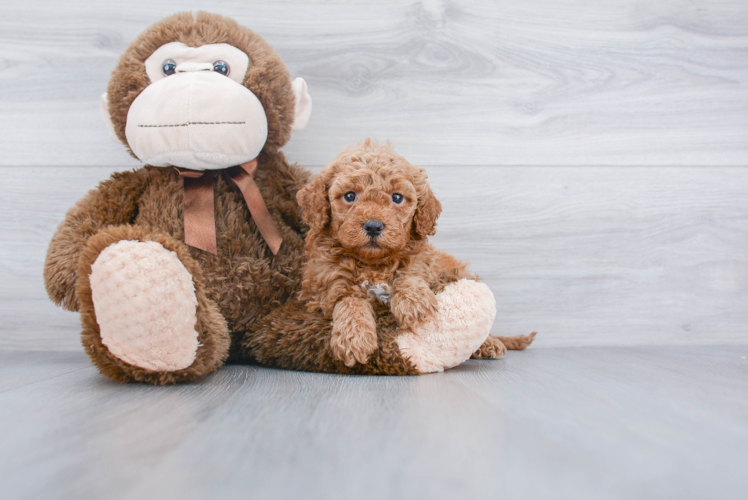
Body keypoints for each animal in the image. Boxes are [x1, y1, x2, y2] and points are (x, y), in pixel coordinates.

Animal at [248, 142, 536, 376]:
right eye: (350, 196)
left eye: (397, 197)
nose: (374, 226)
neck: (373, 264)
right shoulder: (322, 287)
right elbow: (348, 299)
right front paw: (355, 338)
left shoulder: (424, 263)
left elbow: (411, 271)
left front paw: (414, 302)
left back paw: (489, 344)